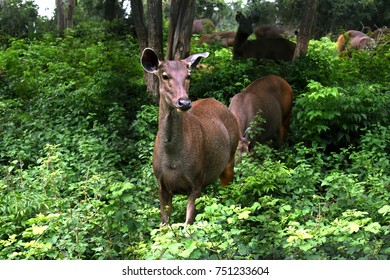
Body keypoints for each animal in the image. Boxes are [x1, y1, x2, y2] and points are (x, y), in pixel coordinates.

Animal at [139, 47, 239, 223]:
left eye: (188, 75)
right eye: (165, 76)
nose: (184, 102)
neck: (172, 160)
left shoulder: (196, 181)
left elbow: (188, 224)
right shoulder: (161, 184)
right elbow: (164, 224)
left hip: (230, 159)